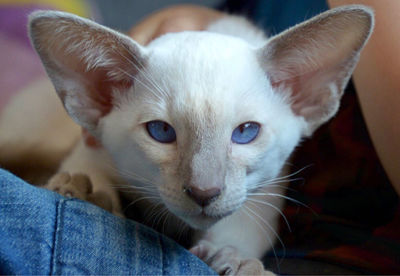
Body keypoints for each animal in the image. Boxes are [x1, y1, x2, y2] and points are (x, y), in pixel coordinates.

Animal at [15, 5, 374, 274]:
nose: (204, 192)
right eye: (161, 132)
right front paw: (83, 193)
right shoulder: (93, 150)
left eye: (246, 132)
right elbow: (85, 174)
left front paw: (235, 262)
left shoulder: (264, 191)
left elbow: (238, 230)